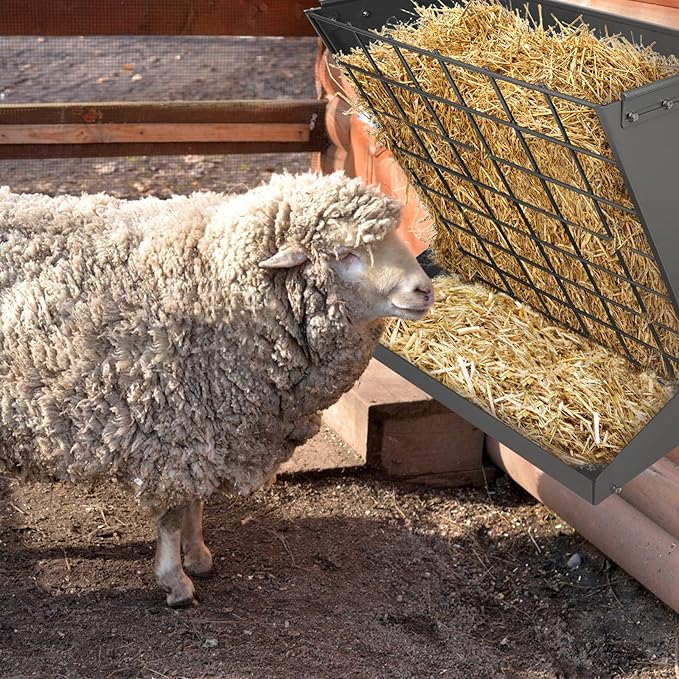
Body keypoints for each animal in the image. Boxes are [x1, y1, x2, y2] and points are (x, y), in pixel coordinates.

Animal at [0, 171, 434, 607]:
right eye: (346, 254)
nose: (424, 290)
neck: (214, 278)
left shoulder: (205, 424)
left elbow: (196, 502)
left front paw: (198, 555)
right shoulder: (172, 430)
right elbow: (174, 513)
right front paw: (175, 581)